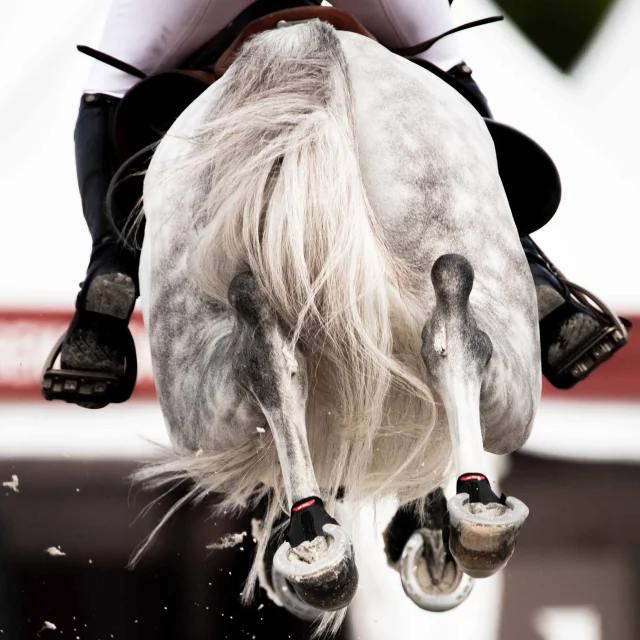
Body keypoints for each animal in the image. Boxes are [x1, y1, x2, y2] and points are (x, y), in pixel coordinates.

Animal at [136, 16, 540, 635]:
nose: (430, 562)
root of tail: (305, 37)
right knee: (451, 316)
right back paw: (460, 515)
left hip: (202, 411)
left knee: (272, 350)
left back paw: (320, 541)